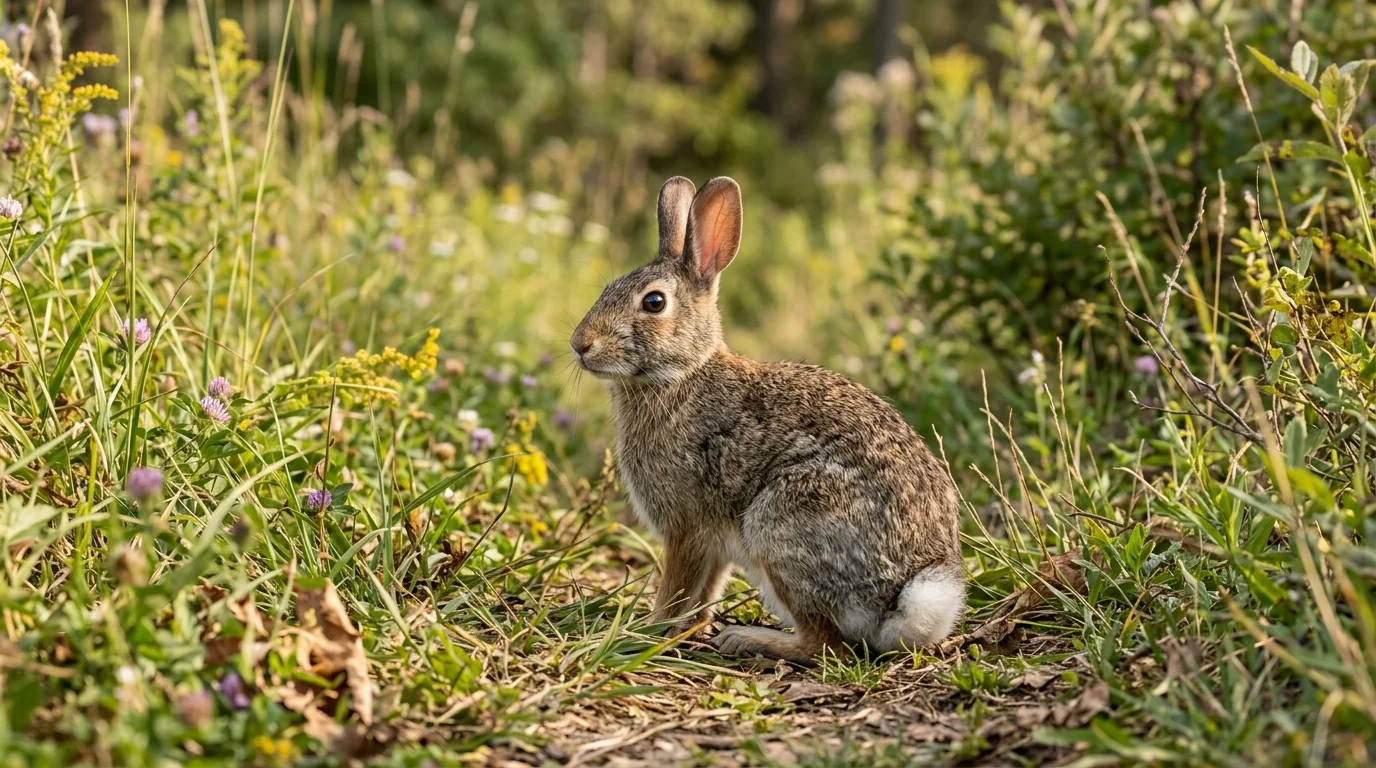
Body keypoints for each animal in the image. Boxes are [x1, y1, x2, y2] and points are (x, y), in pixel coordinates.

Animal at [569, 176, 965, 662]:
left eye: (654, 302)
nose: (580, 344)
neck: (682, 374)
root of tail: (900, 600)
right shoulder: (714, 543)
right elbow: (704, 593)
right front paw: (686, 628)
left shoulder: (685, 527)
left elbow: (676, 589)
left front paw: (646, 631)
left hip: (781, 527)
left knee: (825, 644)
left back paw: (748, 638)